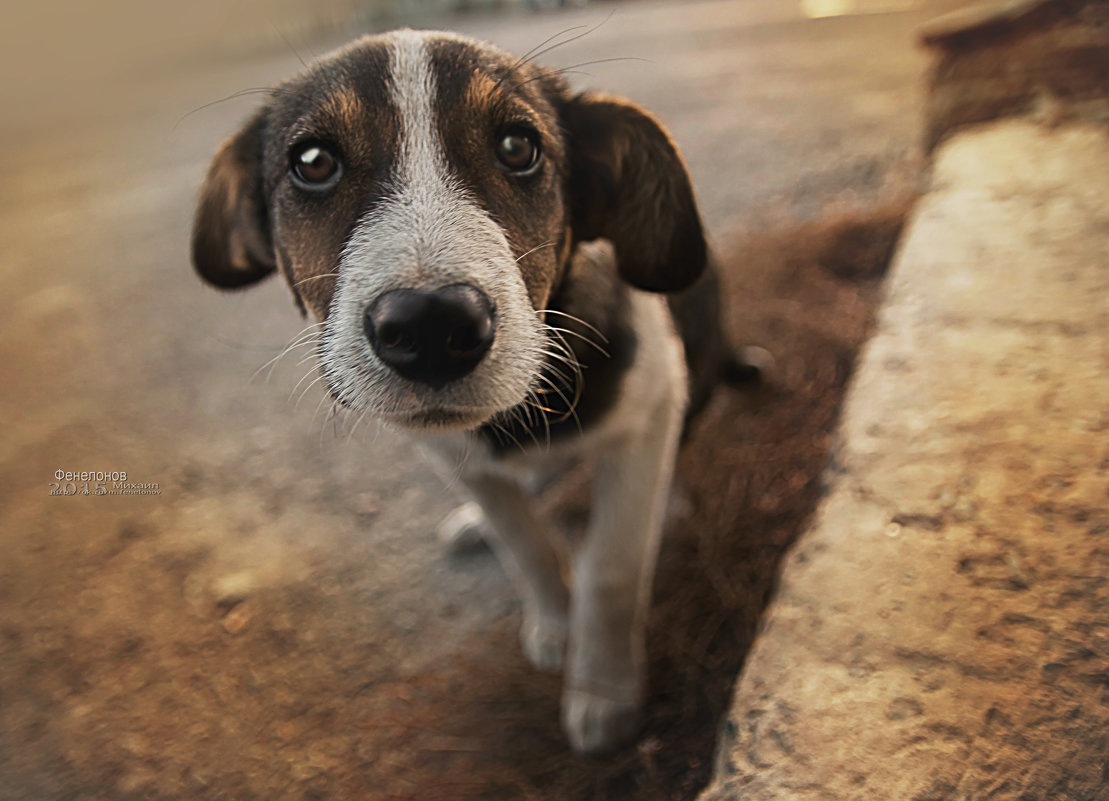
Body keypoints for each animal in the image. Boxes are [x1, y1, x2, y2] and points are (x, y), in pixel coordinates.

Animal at [190, 28, 749, 749]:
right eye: (312, 162)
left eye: (518, 147)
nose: (431, 325)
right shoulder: (450, 453)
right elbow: (524, 542)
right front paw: (554, 623)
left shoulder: (650, 404)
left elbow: (611, 567)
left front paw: (603, 692)